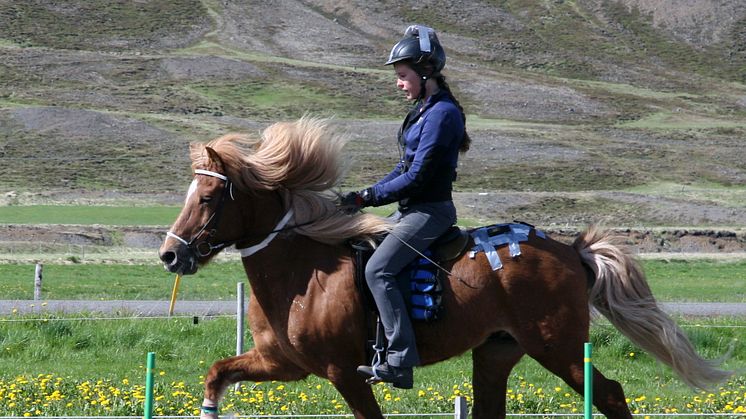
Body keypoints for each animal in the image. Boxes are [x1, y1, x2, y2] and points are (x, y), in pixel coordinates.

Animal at [160, 118, 728, 419]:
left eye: (207, 197)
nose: (170, 254)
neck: (302, 275)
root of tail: (571, 251)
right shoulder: (282, 364)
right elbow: (217, 374)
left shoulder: (344, 372)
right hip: (497, 353)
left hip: (559, 348)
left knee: (608, 394)